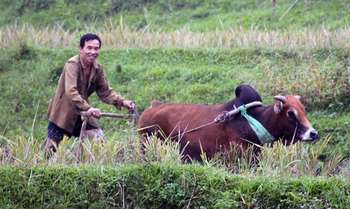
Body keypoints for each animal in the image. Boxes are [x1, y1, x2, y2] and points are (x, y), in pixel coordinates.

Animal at [138, 85, 318, 162]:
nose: (314, 133)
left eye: (303, 109)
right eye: (291, 113)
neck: (253, 121)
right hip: (146, 145)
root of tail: (152, 107)